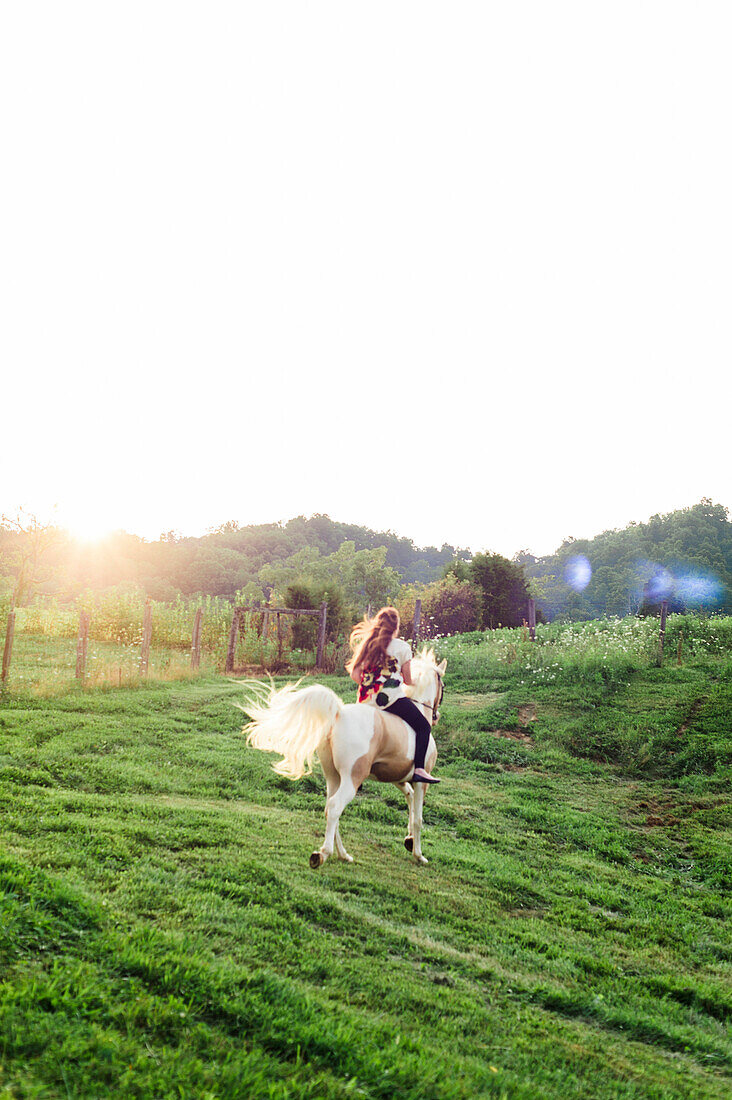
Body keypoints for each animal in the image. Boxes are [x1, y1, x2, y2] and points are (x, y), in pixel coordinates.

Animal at [242, 642, 442, 866]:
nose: (436, 716)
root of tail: (339, 713)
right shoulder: (421, 781)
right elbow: (418, 818)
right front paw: (418, 854)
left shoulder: (398, 777)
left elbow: (409, 798)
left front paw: (408, 840)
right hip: (351, 778)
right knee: (336, 806)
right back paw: (322, 854)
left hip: (333, 776)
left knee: (329, 808)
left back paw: (342, 854)